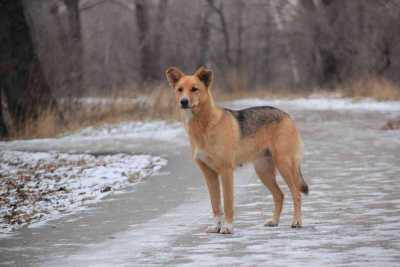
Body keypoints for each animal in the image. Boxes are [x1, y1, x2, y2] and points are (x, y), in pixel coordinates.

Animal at [164, 66, 308, 234]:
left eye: (194, 89)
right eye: (180, 89)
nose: (184, 101)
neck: (203, 126)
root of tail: (287, 115)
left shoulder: (226, 171)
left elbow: (227, 203)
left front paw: (227, 227)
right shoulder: (209, 174)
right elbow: (215, 205)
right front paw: (216, 227)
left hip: (283, 165)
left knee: (296, 193)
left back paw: (296, 222)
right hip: (263, 171)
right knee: (280, 195)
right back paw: (273, 221)